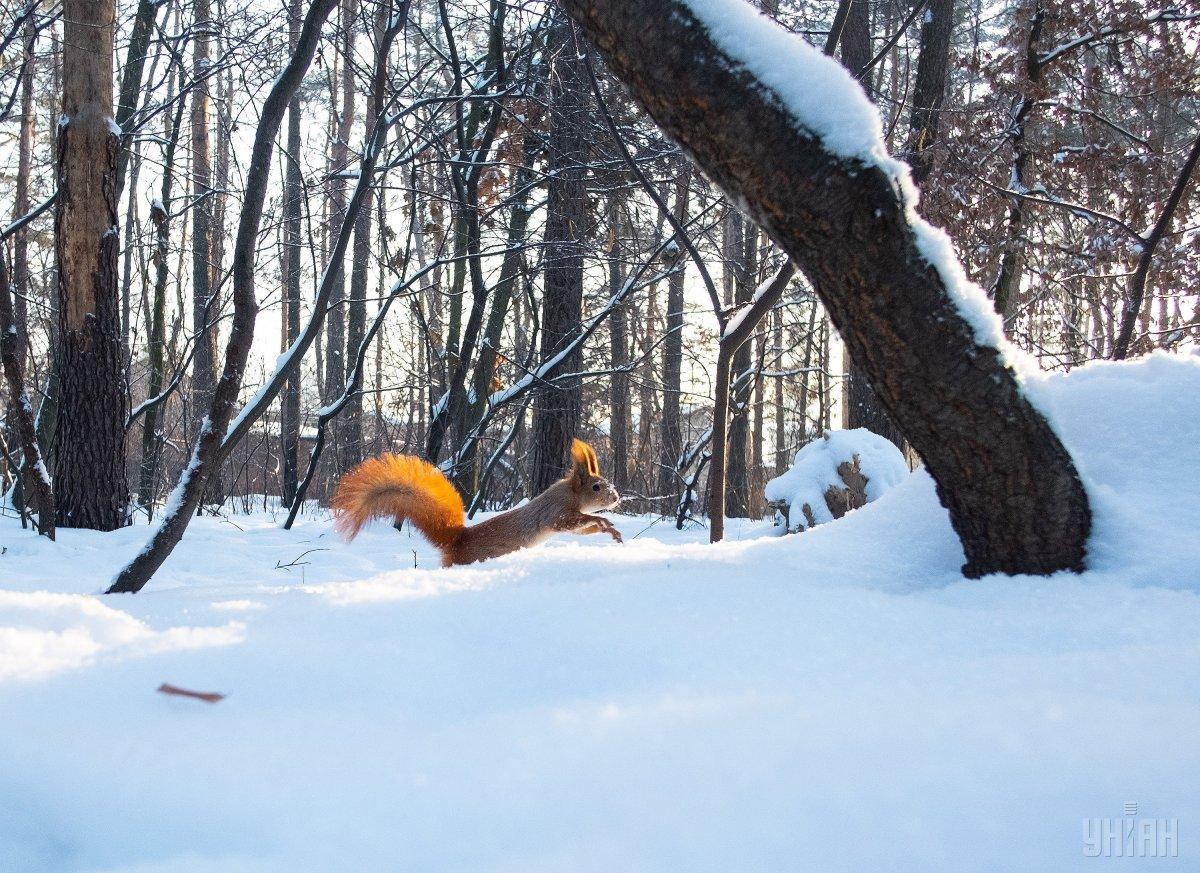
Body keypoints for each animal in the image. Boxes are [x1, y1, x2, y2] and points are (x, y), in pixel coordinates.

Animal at [333, 436, 624, 566]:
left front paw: (610, 530)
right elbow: (572, 521)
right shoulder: (555, 513)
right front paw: (604, 521)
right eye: (597, 487)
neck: (569, 493)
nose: (616, 498)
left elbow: (583, 528)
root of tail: (455, 542)